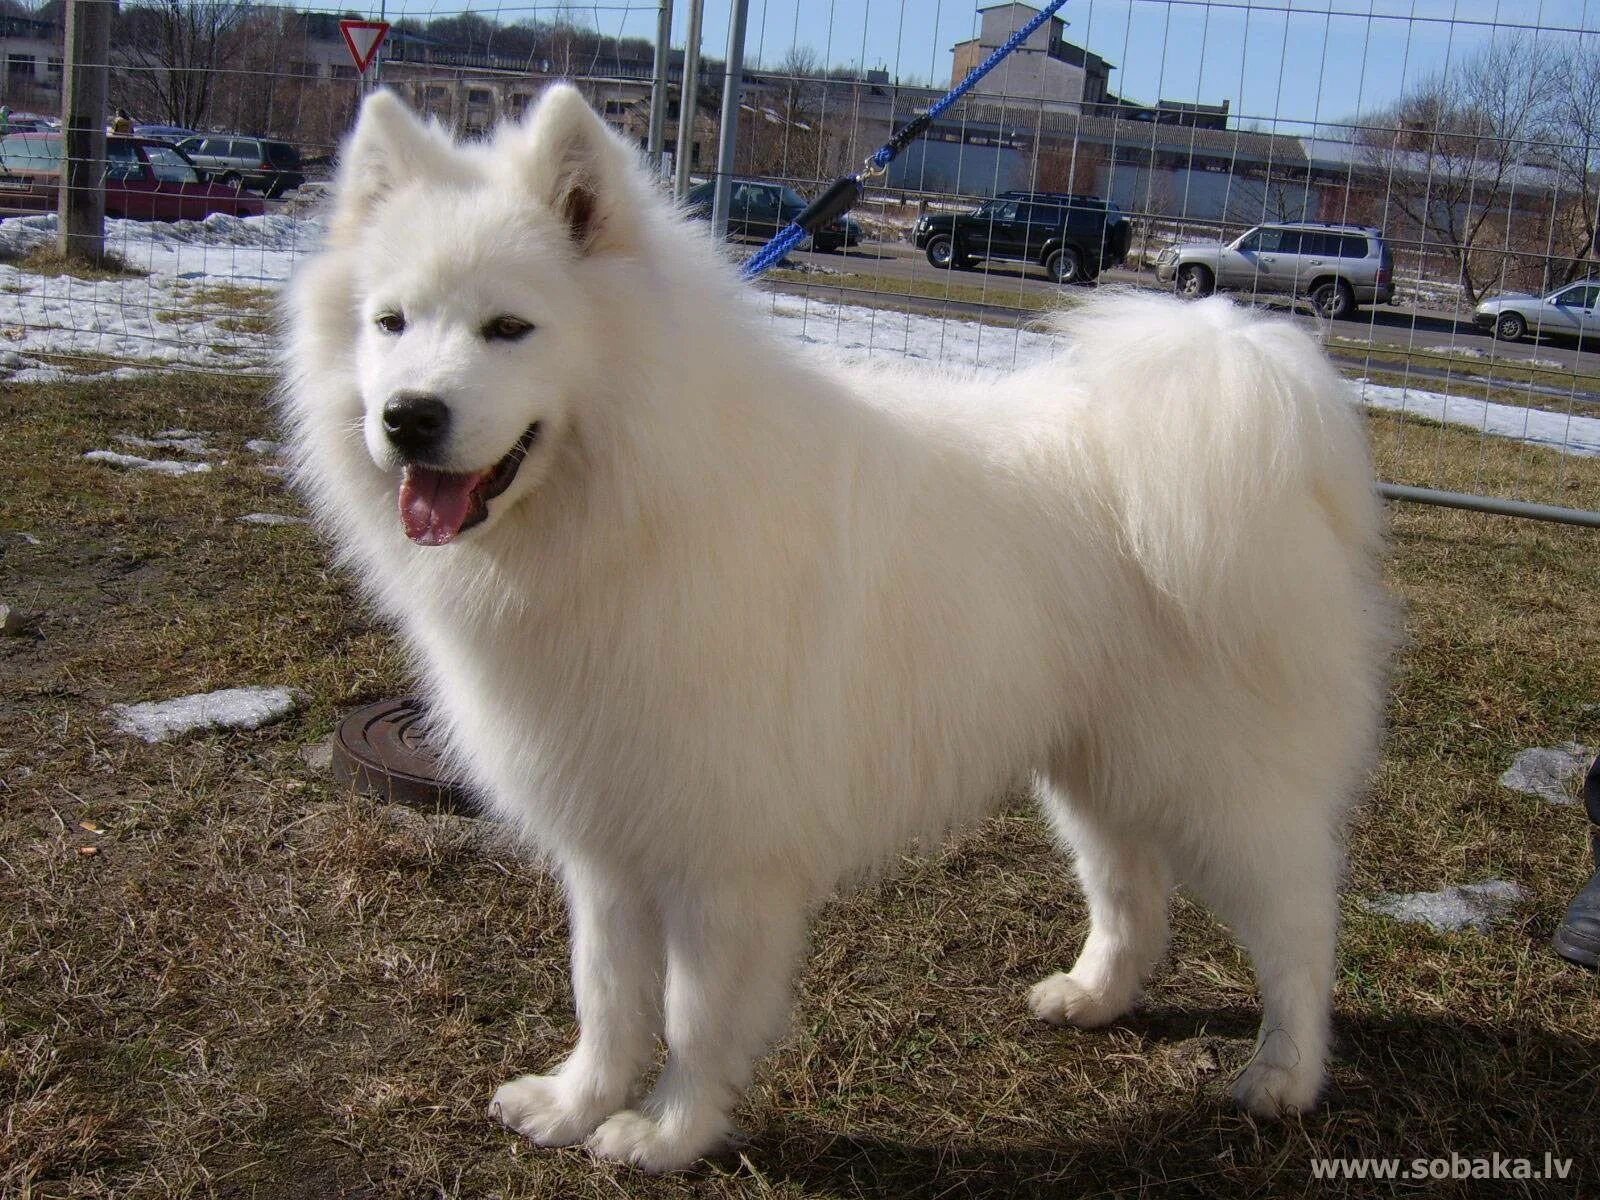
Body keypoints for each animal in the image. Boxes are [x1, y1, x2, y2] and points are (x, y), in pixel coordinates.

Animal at [281, 86, 1395, 1177]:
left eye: (509, 327)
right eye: (391, 322)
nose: (408, 416)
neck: (641, 505)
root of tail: (1237, 401)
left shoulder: (723, 855)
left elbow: (693, 1016)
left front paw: (666, 1134)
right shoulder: (609, 836)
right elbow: (604, 996)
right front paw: (573, 1104)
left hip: (1221, 787)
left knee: (1301, 929)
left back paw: (1284, 1076)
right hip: (1097, 766)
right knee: (1132, 893)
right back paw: (1092, 996)